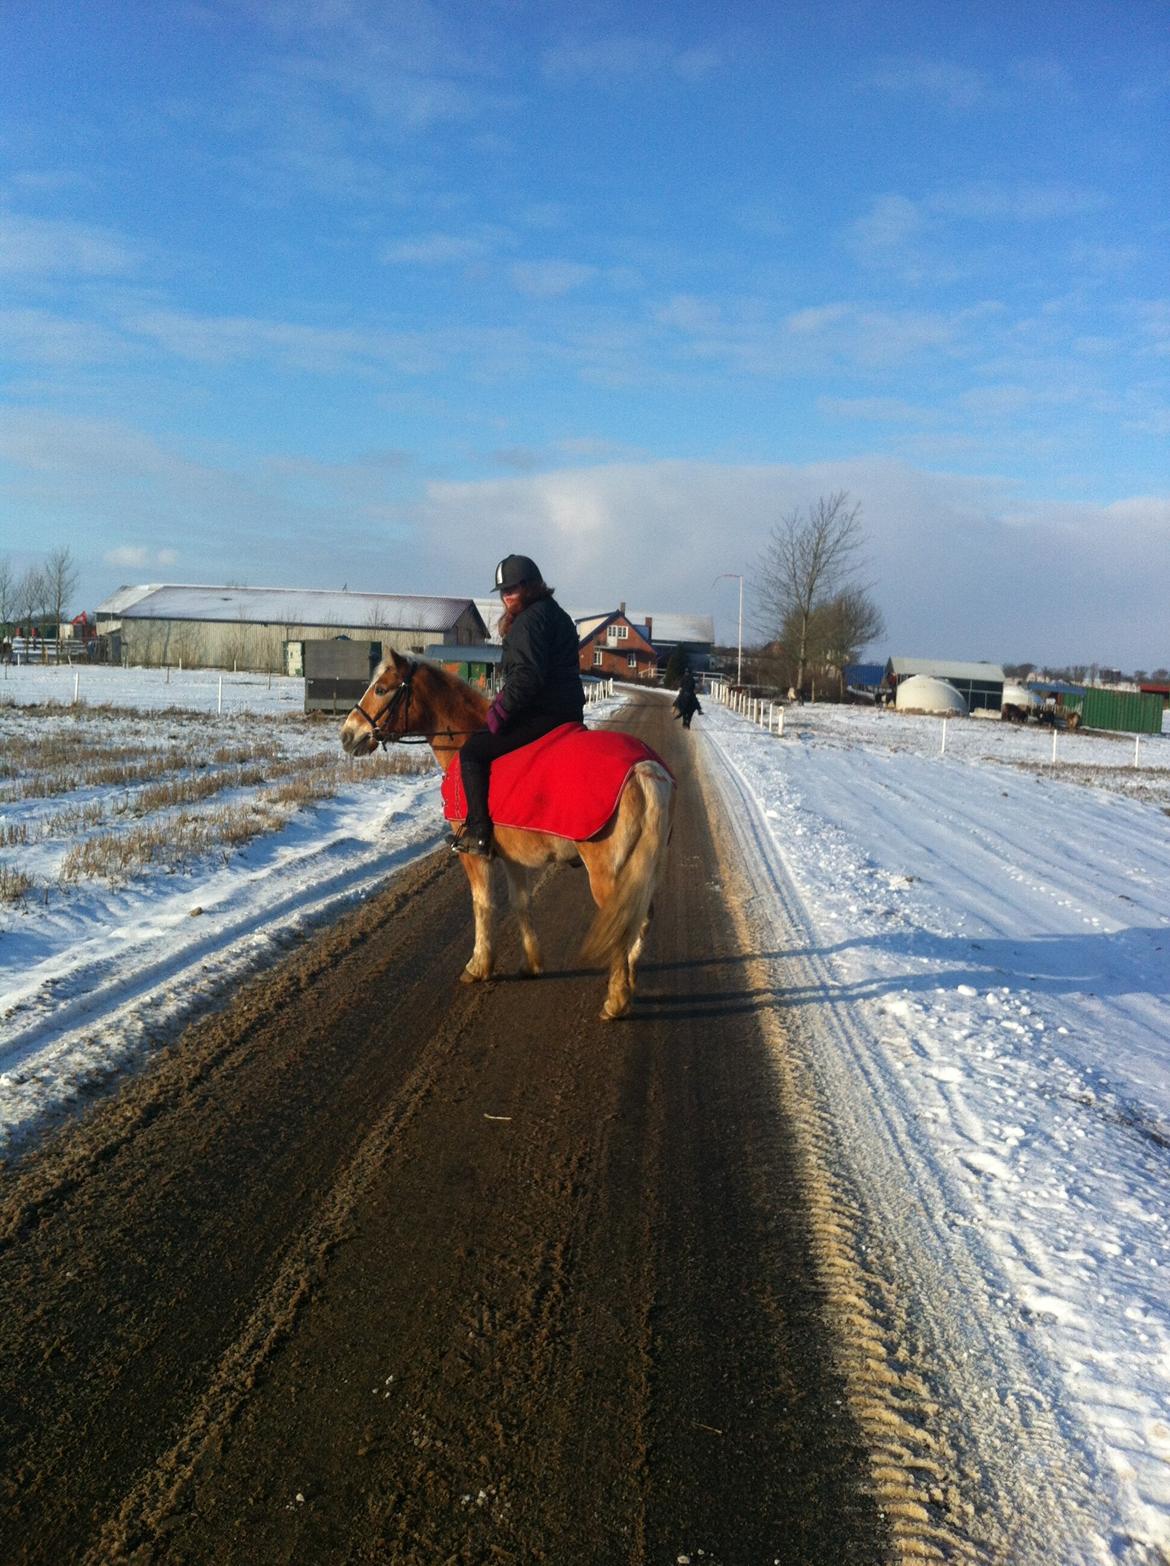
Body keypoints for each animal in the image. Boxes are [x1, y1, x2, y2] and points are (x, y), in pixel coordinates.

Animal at [338, 654, 676, 1021]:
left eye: (381, 689)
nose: (347, 735)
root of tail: (645, 770)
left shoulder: (473, 854)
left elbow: (483, 903)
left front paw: (479, 966)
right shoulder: (515, 858)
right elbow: (521, 902)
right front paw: (531, 964)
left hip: (606, 873)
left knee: (623, 921)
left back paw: (616, 1000)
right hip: (642, 869)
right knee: (641, 918)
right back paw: (628, 979)